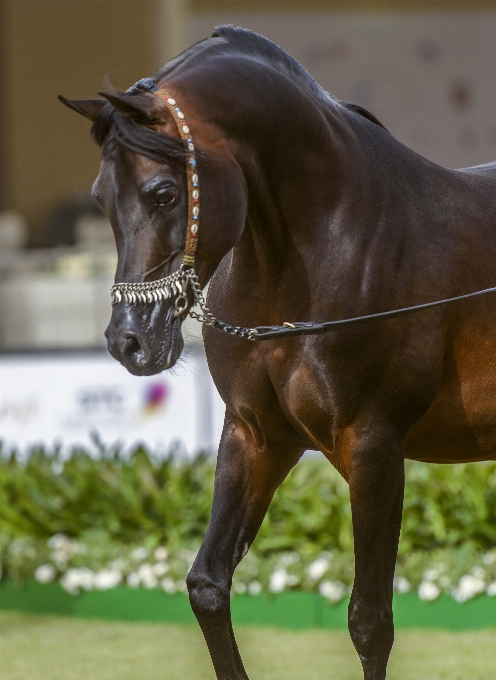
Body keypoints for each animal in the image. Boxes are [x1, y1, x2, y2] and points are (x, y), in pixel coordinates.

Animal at [60, 26, 496, 680]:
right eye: (100, 198)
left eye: (163, 194)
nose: (128, 341)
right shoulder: (256, 435)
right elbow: (207, 585)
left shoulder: (374, 446)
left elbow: (370, 622)